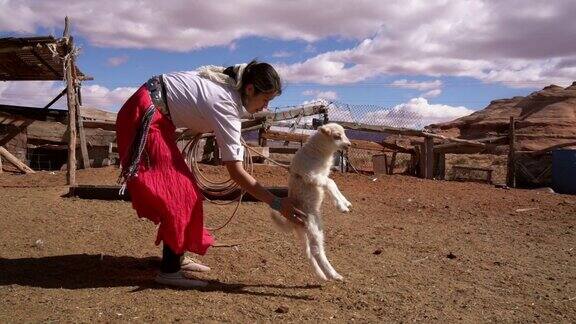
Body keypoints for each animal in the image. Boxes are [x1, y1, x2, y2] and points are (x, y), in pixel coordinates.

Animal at [272, 123, 354, 280]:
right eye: (337, 136)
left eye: (345, 133)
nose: (349, 145)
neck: (318, 153)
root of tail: (292, 222)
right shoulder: (311, 176)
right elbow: (331, 182)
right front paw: (341, 206)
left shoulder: (322, 175)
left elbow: (333, 183)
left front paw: (345, 202)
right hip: (312, 227)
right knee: (316, 250)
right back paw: (334, 275)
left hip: (305, 231)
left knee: (308, 252)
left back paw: (321, 275)